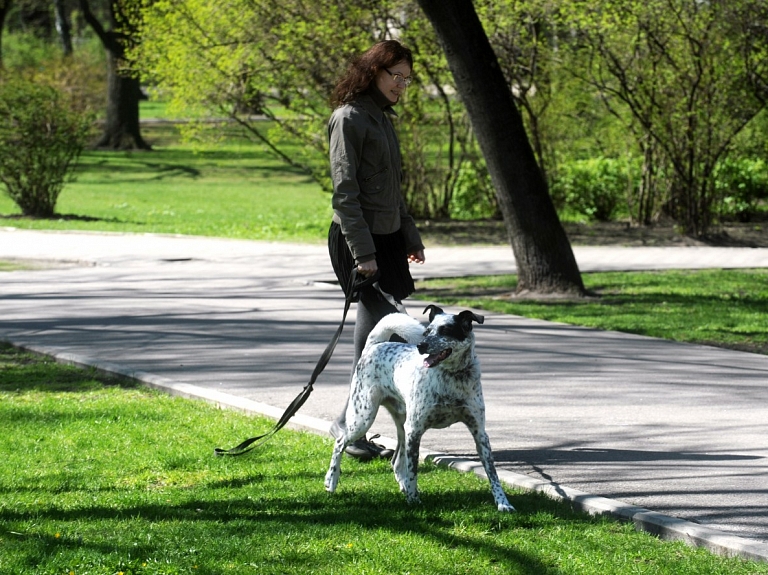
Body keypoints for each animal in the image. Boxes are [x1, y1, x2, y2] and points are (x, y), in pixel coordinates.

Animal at [326, 306, 516, 512]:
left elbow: (493, 473)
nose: (421, 346)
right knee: (339, 443)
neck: (452, 377)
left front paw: (503, 503)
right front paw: (413, 500)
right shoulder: (415, 431)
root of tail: (374, 346)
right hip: (364, 417)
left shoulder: (479, 433)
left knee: (396, 461)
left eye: (445, 330)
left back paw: (402, 487)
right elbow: (413, 470)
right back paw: (331, 481)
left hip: (402, 425)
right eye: (427, 332)